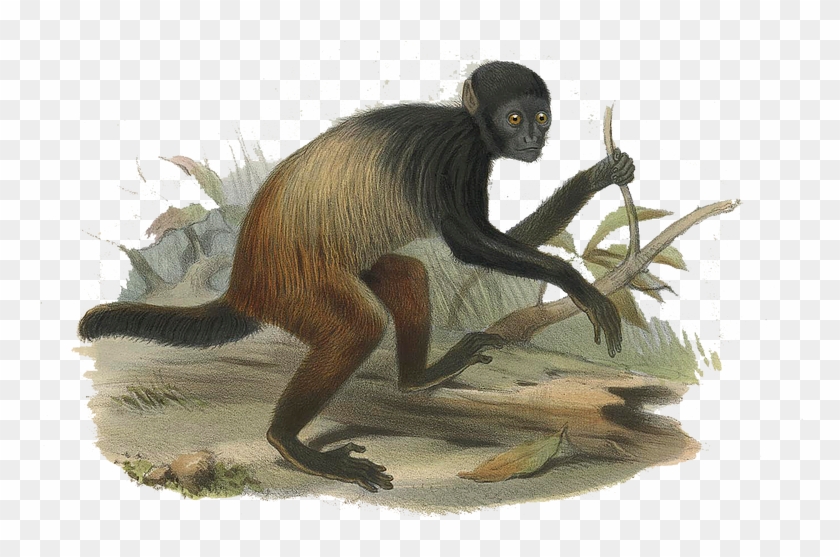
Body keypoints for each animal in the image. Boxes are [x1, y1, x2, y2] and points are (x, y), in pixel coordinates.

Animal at [79, 61, 635, 492]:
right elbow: (467, 244)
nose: (532, 138)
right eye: (515, 117)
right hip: (298, 287)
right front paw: (578, 284)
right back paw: (290, 443)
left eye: (541, 117)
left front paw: (598, 177)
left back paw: (417, 378)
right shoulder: (457, 153)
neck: (467, 123)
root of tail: (245, 282)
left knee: (407, 272)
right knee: (358, 326)